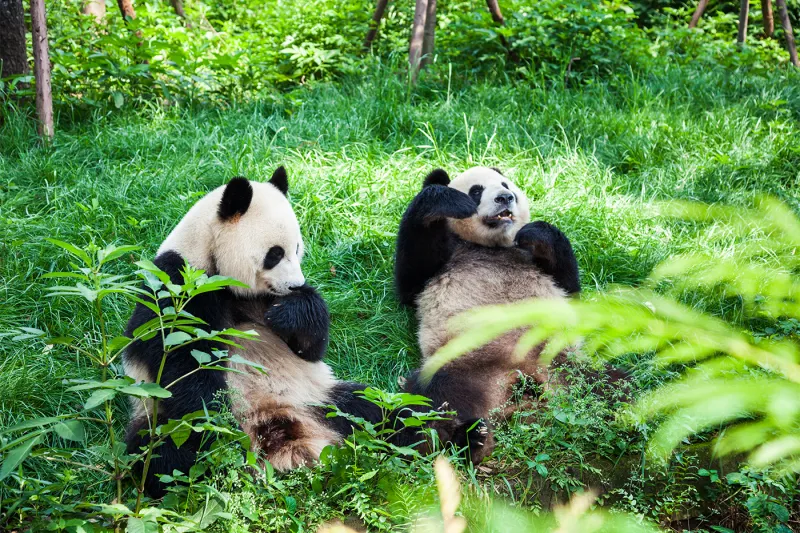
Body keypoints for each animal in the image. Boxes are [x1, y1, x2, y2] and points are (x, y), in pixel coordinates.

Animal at [124, 167, 381, 497]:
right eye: (275, 254)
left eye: (297, 248)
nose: (295, 285)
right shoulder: (177, 284)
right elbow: (185, 363)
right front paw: (217, 425)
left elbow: (310, 347)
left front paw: (291, 312)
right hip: (154, 413)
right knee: (163, 452)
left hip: (319, 399)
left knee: (378, 408)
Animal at [393, 166, 580, 463]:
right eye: (476, 191)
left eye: (506, 185)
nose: (505, 198)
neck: (493, 247)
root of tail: (520, 379)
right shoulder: (446, 255)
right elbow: (411, 276)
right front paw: (447, 201)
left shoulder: (531, 257)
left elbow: (569, 286)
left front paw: (537, 231)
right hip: (463, 366)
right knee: (425, 402)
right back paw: (464, 439)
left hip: (565, 364)